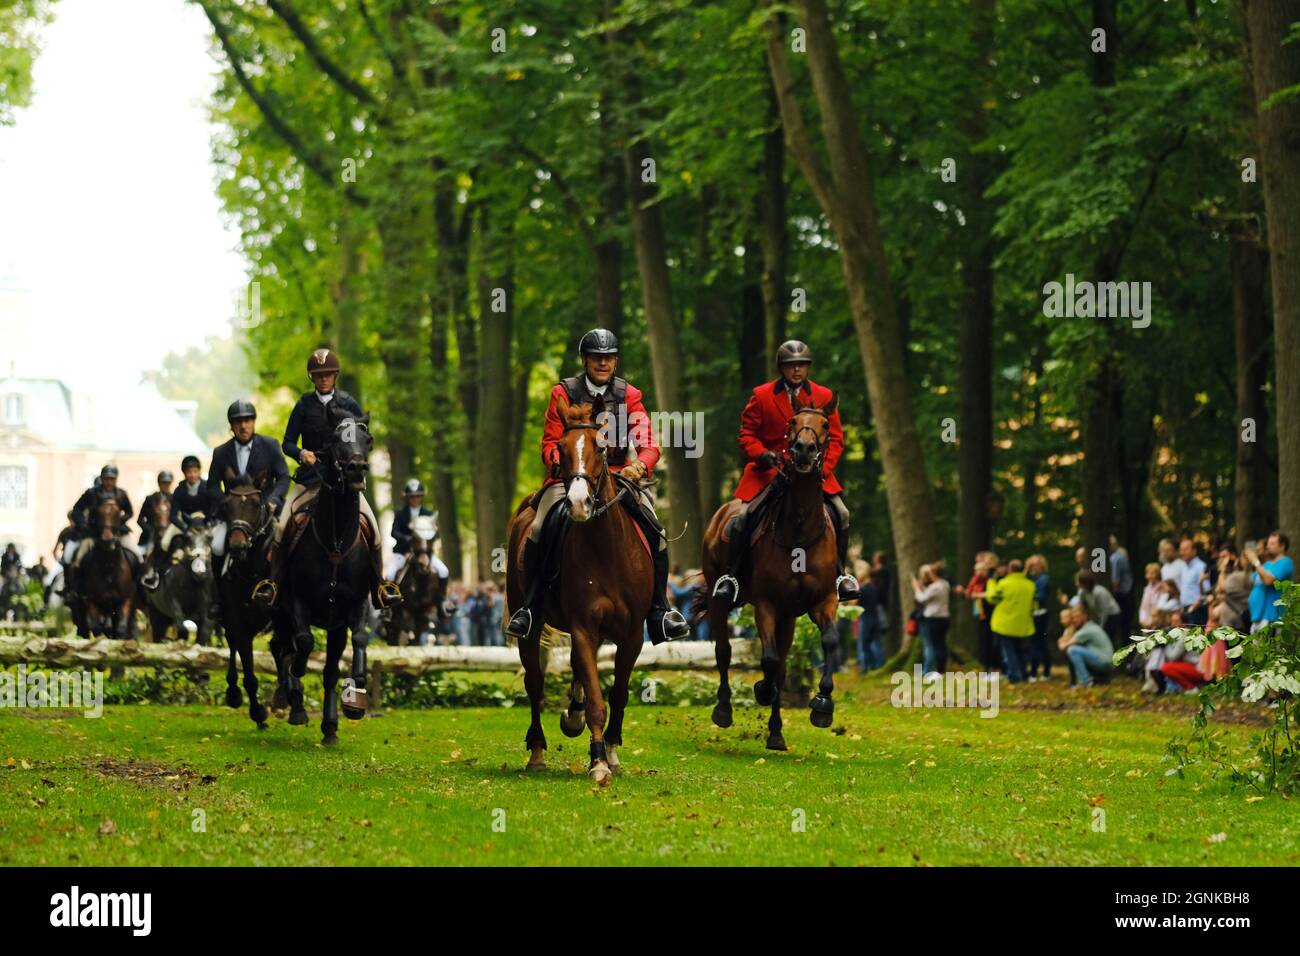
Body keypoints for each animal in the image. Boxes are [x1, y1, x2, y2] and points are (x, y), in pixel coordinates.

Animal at [76, 496, 138, 639]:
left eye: (117, 514)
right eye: (98, 514)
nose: (107, 541)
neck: (109, 565)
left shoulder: (126, 599)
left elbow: (121, 628)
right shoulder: (93, 601)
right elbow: (96, 628)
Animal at [283, 416, 379, 743]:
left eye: (368, 440)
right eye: (336, 440)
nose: (356, 469)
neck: (336, 542)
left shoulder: (355, 605)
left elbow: (359, 639)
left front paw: (356, 697)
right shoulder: (297, 601)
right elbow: (303, 642)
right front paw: (297, 674)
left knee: (328, 671)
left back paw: (328, 726)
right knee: (282, 648)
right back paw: (295, 703)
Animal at [504, 390, 655, 785]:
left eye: (602, 446)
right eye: (560, 447)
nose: (577, 504)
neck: (608, 550)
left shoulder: (632, 634)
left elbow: (618, 694)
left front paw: (612, 753)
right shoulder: (585, 628)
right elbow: (597, 702)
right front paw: (598, 760)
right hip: (531, 627)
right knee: (536, 685)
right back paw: (537, 750)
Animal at [702, 392, 842, 749]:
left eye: (825, 424)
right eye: (793, 421)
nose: (804, 449)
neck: (800, 530)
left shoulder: (823, 601)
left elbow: (829, 641)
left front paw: (823, 705)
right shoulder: (766, 604)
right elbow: (767, 660)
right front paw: (762, 690)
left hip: (789, 617)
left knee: (781, 663)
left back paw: (776, 733)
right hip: (719, 599)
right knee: (723, 652)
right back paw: (724, 710)